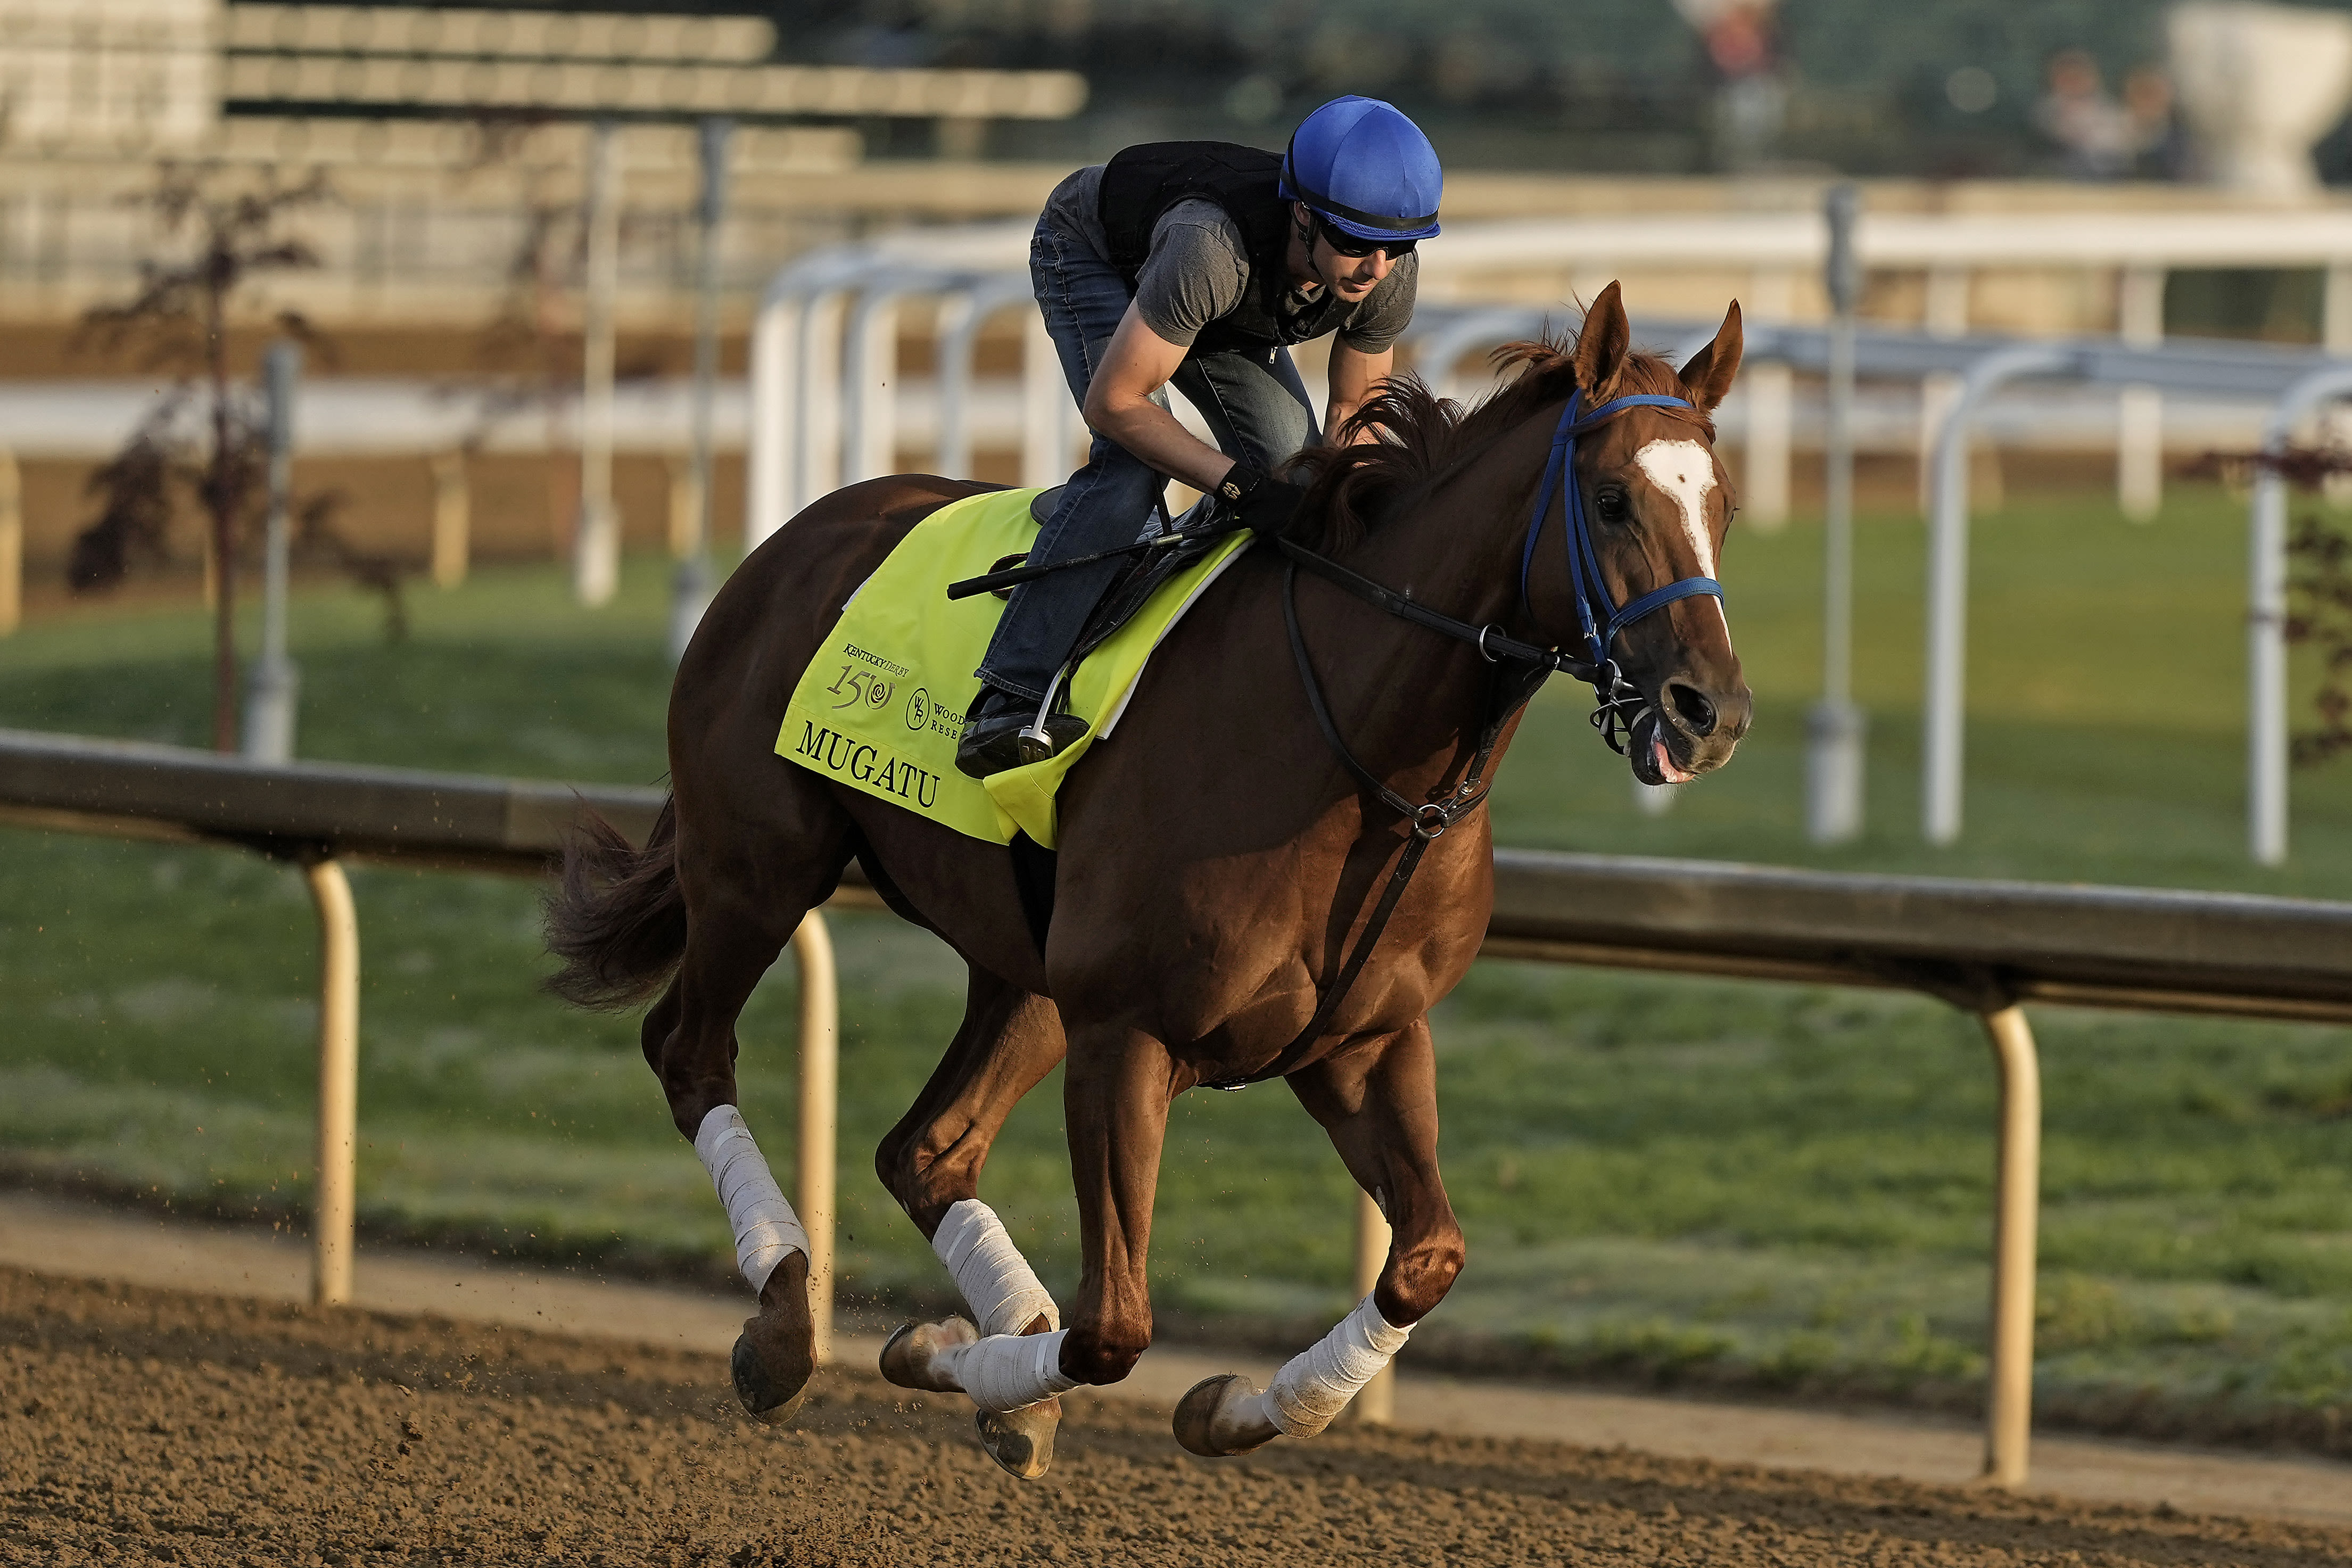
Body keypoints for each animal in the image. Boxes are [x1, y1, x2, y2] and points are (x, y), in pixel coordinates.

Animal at [546, 285, 1749, 1486]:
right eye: (1609, 501)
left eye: (1722, 505)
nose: (1712, 710)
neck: (1353, 757)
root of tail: (793, 538)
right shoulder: (1128, 1034)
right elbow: (1113, 1327)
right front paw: (959, 1357)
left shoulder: (1363, 1040)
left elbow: (1426, 1260)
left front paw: (1231, 1406)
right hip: (757, 866)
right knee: (690, 1052)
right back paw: (787, 1325)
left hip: (1024, 971)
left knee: (926, 1150)